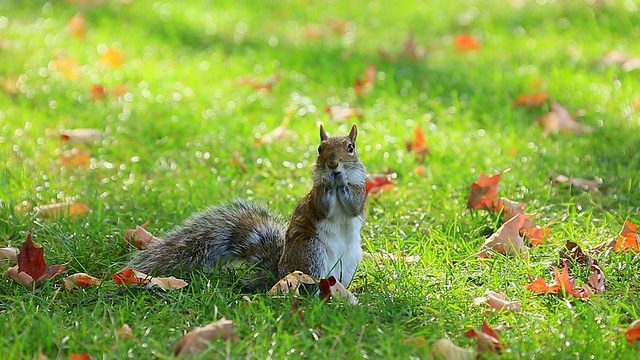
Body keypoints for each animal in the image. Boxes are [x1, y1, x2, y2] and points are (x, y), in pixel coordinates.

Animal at [125, 125, 368, 292]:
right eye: (319, 149)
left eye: (351, 148)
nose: (333, 165)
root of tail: (279, 275)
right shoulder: (314, 200)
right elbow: (322, 207)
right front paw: (329, 180)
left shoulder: (361, 192)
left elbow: (354, 206)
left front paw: (342, 179)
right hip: (310, 253)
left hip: (349, 261)